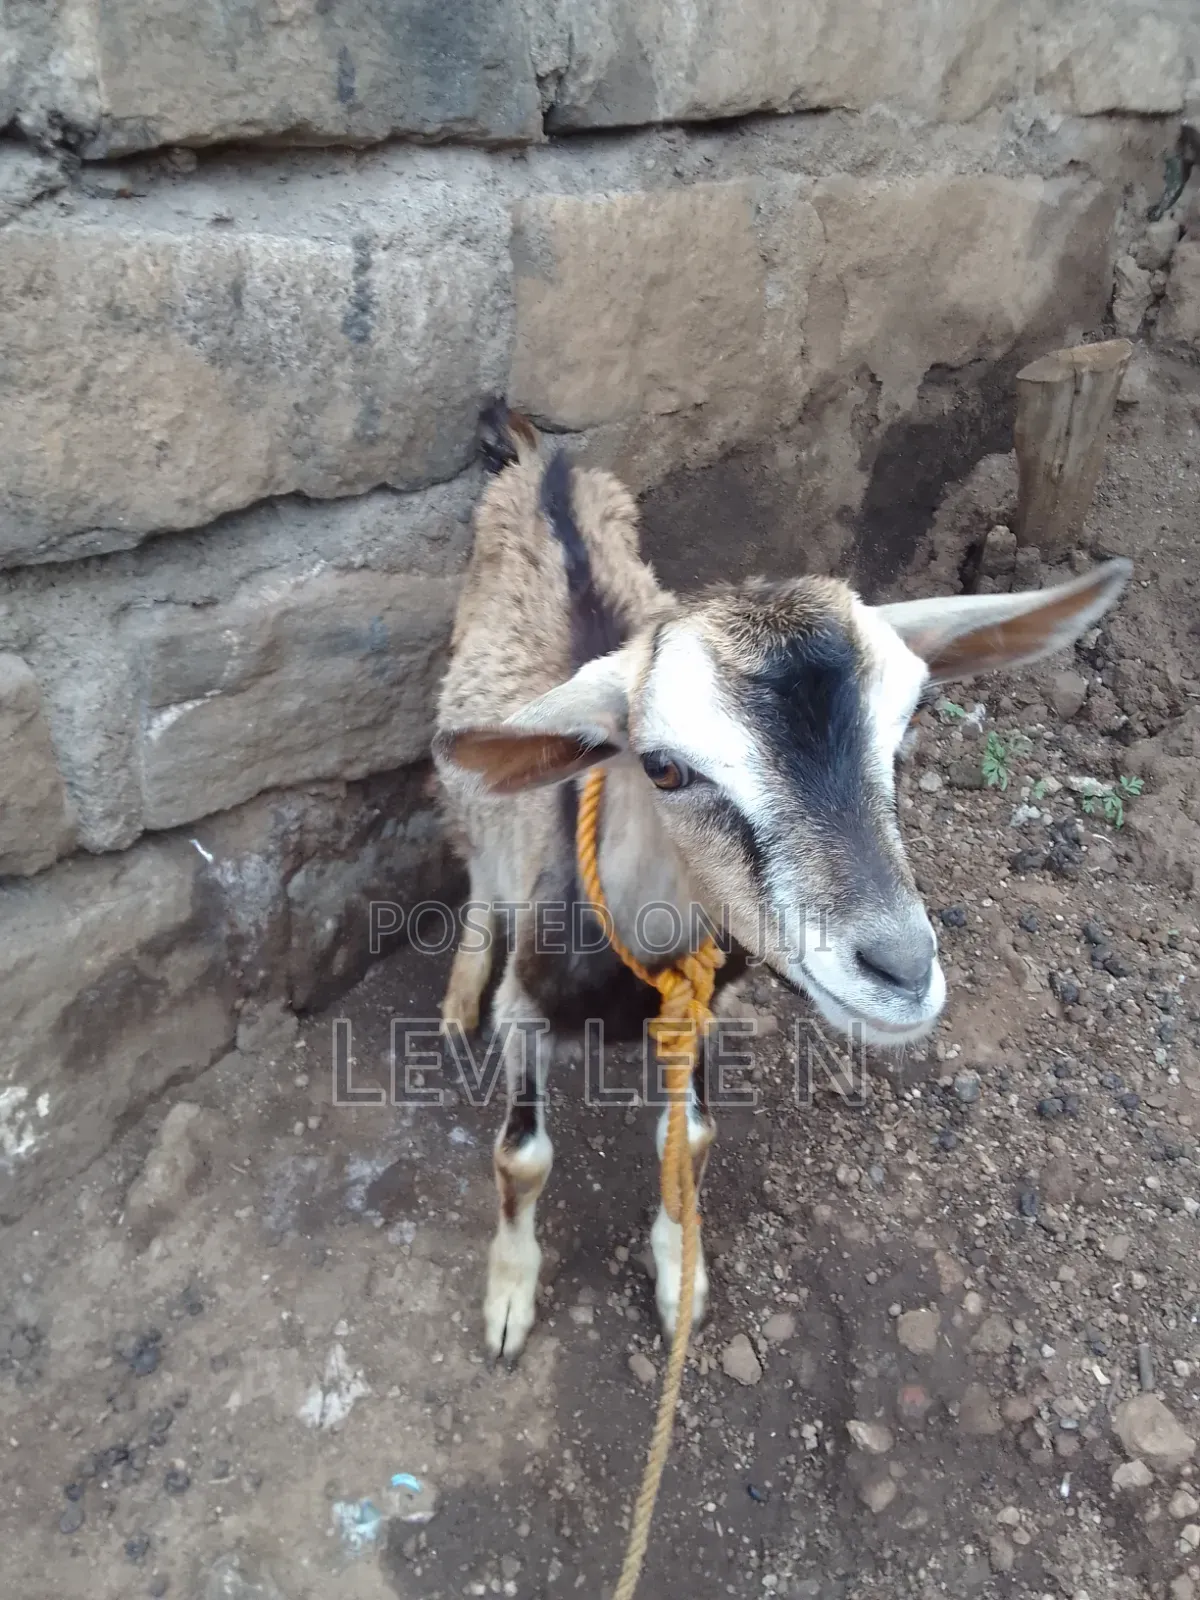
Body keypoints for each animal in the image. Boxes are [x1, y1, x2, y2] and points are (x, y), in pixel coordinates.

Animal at [433, 403, 1130, 1361]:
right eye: (663, 766)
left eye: (908, 725)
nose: (902, 970)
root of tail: (543, 460)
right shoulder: (528, 1011)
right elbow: (521, 1159)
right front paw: (508, 1299)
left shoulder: (698, 1007)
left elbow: (688, 1138)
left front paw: (680, 1280)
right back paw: (459, 986)